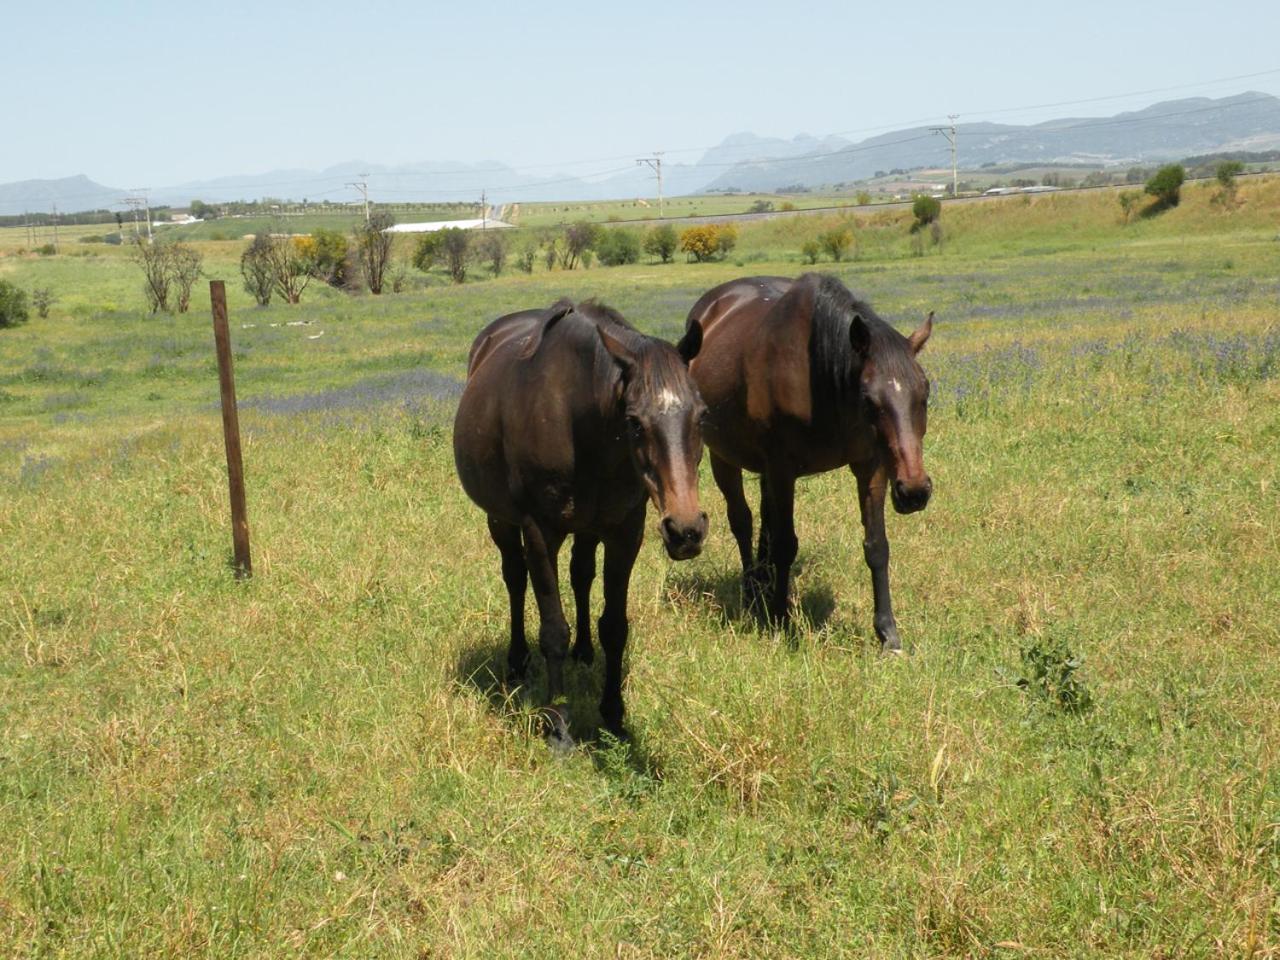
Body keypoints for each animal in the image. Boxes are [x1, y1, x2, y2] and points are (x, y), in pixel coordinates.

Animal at [453, 296, 711, 747]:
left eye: (702, 415)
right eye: (634, 421)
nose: (686, 531)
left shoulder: (626, 530)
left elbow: (614, 626)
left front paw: (614, 716)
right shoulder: (540, 532)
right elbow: (554, 630)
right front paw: (558, 725)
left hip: (590, 529)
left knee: (581, 575)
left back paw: (585, 652)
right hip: (500, 520)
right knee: (514, 577)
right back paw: (516, 662)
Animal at [675, 276, 936, 655]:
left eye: (924, 394)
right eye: (869, 400)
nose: (914, 491)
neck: (824, 382)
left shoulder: (871, 465)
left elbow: (876, 546)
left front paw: (888, 633)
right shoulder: (783, 468)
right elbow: (785, 543)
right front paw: (781, 620)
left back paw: (764, 583)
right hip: (723, 457)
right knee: (743, 521)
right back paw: (752, 592)